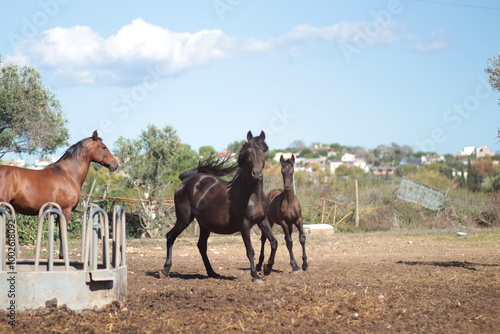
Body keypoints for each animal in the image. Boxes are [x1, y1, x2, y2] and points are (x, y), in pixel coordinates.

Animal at [160, 130, 278, 282]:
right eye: (248, 152)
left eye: (263, 151)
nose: (256, 173)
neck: (252, 195)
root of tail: (186, 181)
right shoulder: (244, 224)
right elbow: (250, 250)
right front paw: (255, 275)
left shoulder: (262, 221)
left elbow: (274, 242)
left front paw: (267, 268)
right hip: (184, 219)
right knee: (170, 236)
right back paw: (165, 270)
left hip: (204, 224)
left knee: (201, 245)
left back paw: (212, 273)